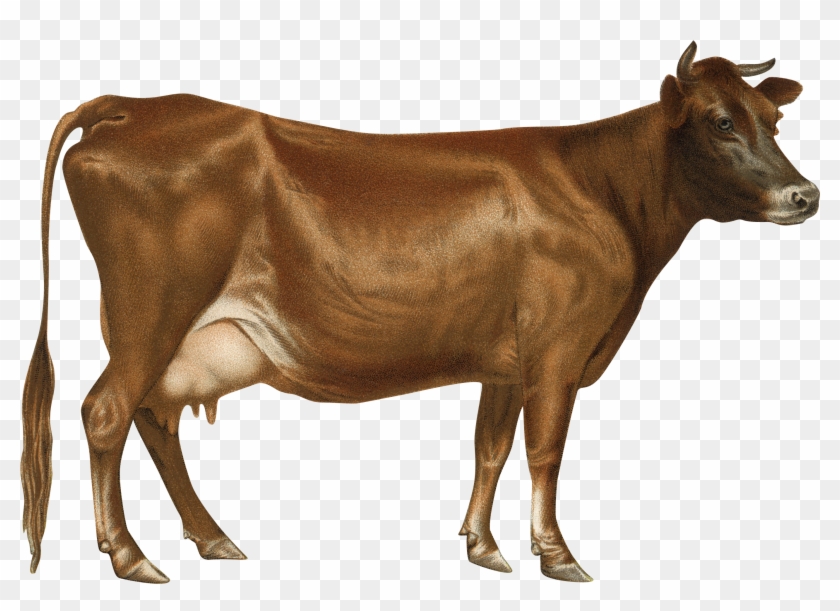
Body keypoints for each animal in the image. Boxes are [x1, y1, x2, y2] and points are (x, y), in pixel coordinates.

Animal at [21, 42, 818, 584]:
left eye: (774, 118)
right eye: (720, 120)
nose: (805, 195)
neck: (604, 190)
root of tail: (133, 106)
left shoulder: (505, 360)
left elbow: (491, 447)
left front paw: (483, 546)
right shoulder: (558, 350)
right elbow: (546, 450)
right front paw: (556, 555)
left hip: (177, 336)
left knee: (152, 419)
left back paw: (211, 537)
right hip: (148, 316)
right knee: (106, 412)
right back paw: (130, 555)